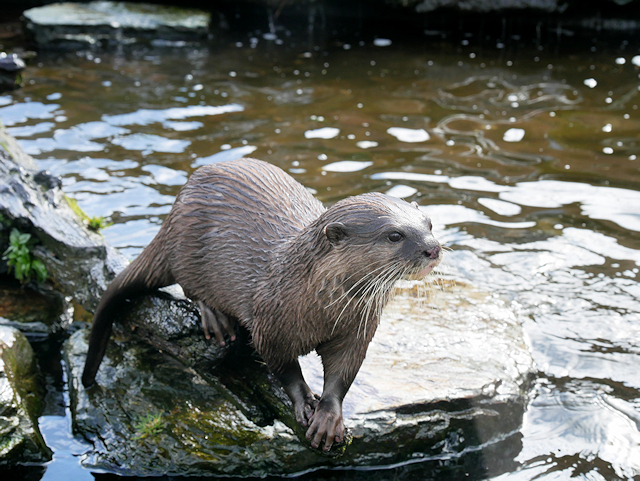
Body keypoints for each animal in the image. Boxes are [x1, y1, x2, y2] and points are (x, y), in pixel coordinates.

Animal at [82, 158, 442, 450]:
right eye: (394, 235)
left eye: (429, 224)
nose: (433, 248)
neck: (319, 307)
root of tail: (174, 211)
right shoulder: (270, 324)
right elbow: (282, 366)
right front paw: (304, 401)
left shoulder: (356, 331)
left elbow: (342, 374)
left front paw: (329, 415)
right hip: (185, 246)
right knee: (188, 283)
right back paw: (215, 318)